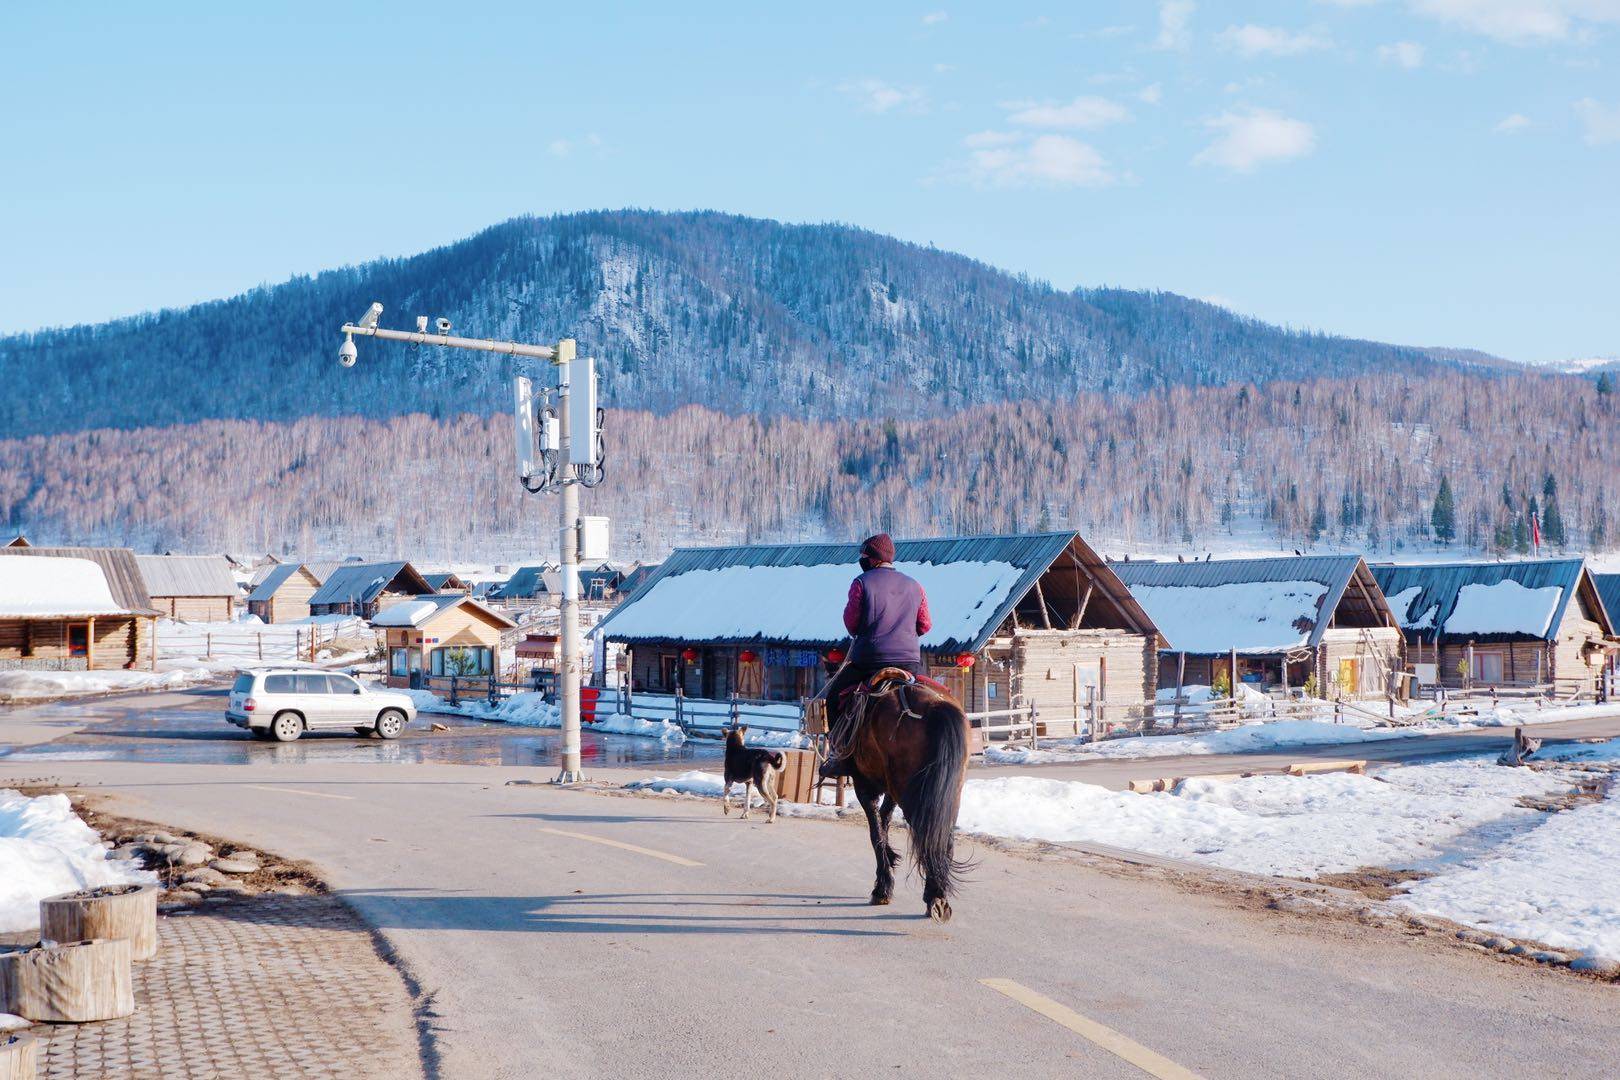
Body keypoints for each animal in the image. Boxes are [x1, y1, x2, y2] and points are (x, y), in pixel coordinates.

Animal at [842, 670, 965, 926]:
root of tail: (934, 705)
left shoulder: (863, 785)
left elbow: (876, 832)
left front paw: (882, 888)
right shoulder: (891, 788)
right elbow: (884, 820)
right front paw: (891, 859)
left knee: (925, 835)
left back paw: (932, 896)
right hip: (950, 792)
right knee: (944, 836)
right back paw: (939, 896)